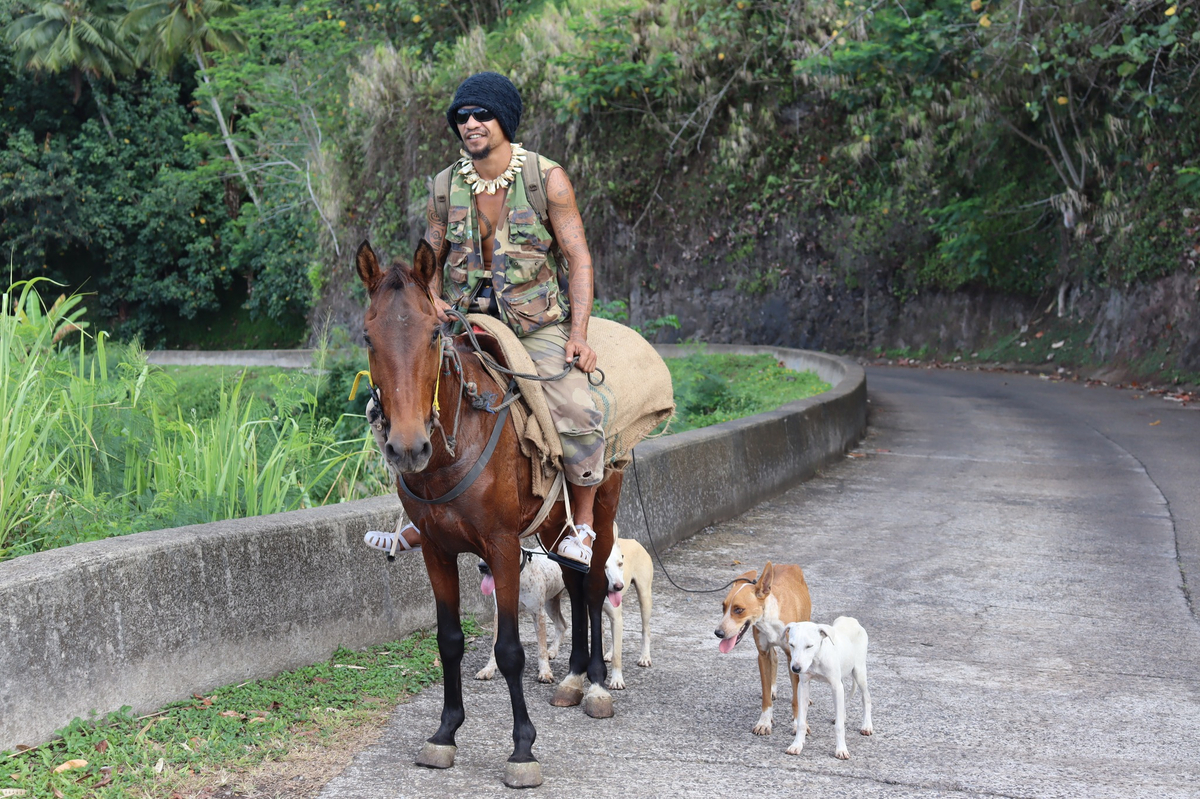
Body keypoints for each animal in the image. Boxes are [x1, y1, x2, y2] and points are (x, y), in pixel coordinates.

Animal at [472, 547, 566, 686]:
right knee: (562, 625)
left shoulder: (538, 614)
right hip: (551, 603)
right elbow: (494, 646)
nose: (482, 567)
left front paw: (545, 672)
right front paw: (489, 669)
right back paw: (553, 651)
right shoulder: (501, 613)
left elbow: (541, 649)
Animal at [600, 532, 657, 686]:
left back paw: (645, 657)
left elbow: (618, 656)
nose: (618, 586)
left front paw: (617, 680)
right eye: (603, 566)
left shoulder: (616, 617)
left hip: (644, 597)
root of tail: (633, 540)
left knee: (646, 629)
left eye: (620, 564)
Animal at [710, 559, 816, 734]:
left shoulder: (792, 657)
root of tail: (788, 565)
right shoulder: (762, 655)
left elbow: (796, 697)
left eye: (739, 609)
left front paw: (798, 724)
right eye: (723, 607)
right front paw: (764, 722)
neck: (769, 619)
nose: (718, 633)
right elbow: (766, 695)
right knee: (775, 658)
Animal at [777, 611, 873, 758]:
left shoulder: (836, 686)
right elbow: (801, 722)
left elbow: (839, 727)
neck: (817, 658)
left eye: (809, 646)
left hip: (859, 671)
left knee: (866, 697)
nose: (795, 669)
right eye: (791, 644)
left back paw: (867, 726)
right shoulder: (803, 685)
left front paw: (841, 749)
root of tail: (851, 619)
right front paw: (797, 745)